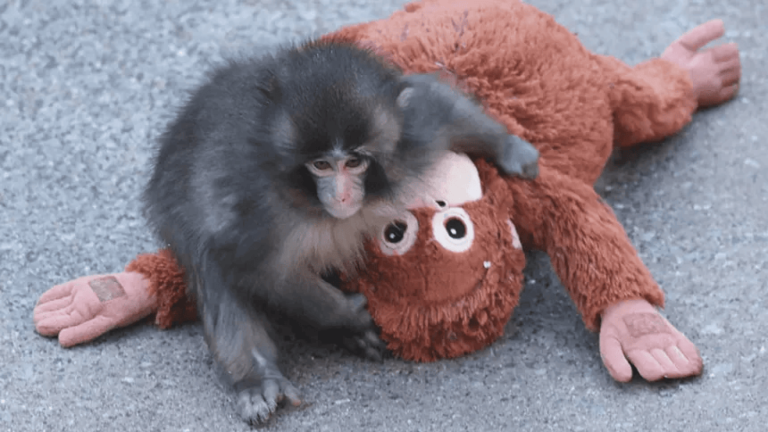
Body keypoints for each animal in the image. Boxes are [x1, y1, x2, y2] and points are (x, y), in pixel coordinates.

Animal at [142, 39, 539, 425]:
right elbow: (257, 269)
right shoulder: (256, 208)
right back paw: (257, 378)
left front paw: (511, 148)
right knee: (210, 264)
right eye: (320, 165)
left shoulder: (411, 138)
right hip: (174, 208)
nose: (342, 194)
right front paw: (347, 314)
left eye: (353, 161)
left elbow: (434, 102)